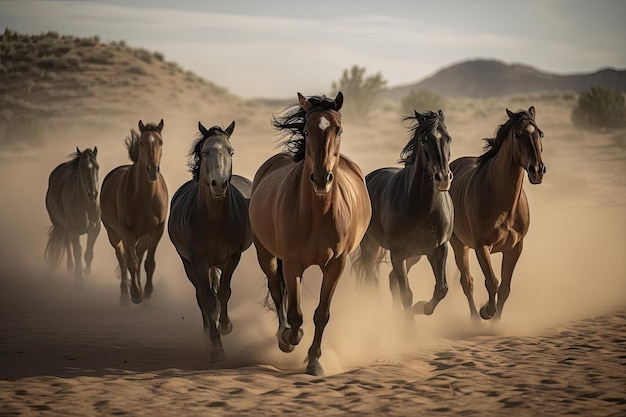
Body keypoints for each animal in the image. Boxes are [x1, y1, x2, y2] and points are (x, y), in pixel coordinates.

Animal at [44, 146, 100, 280]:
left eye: (97, 167)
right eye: (81, 168)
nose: (93, 194)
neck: (85, 206)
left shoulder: (96, 229)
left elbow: (88, 253)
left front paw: (87, 271)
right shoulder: (73, 231)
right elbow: (77, 253)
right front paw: (78, 274)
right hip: (60, 226)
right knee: (66, 244)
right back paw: (70, 267)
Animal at [99, 118, 168, 304]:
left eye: (160, 142)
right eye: (142, 142)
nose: (152, 169)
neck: (146, 198)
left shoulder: (157, 230)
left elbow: (149, 263)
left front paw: (147, 292)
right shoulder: (127, 231)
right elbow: (131, 261)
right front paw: (136, 294)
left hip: (143, 236)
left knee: (139, 254)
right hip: (114, 233)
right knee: (122, 257)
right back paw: (125, 291)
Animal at [168, 120, 254, 360]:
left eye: (231, 151)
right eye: (205, 152)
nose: (219, 184)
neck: (214, 219)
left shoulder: (232, 257)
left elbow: (224, 292)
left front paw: (225, 326)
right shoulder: (198, 261)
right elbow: (208, 300)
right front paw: (216, 347)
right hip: (188, 263)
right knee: (201, 296)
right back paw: (208, 335)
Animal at [249, 92, 372, 376]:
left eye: (339, 130)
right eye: (306, 130)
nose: (321, 179)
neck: (318, 213)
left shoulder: (336, 264)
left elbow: (321, 314)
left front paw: (314, 361)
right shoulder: (292, 263)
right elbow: (295, 313)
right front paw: (289, 339)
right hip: (266, 254)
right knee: (276, 288)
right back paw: (282, 335)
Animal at [446, 105, 544, 320]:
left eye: (541, 133)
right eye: (517, 134)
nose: (537, 170)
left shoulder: (515, 248)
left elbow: (505, 288)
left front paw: (496, 322)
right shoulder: (482, 246)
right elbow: (491, 282)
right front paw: (486, 311)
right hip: (459, 245)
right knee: (467, 282)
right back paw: (475, 318)